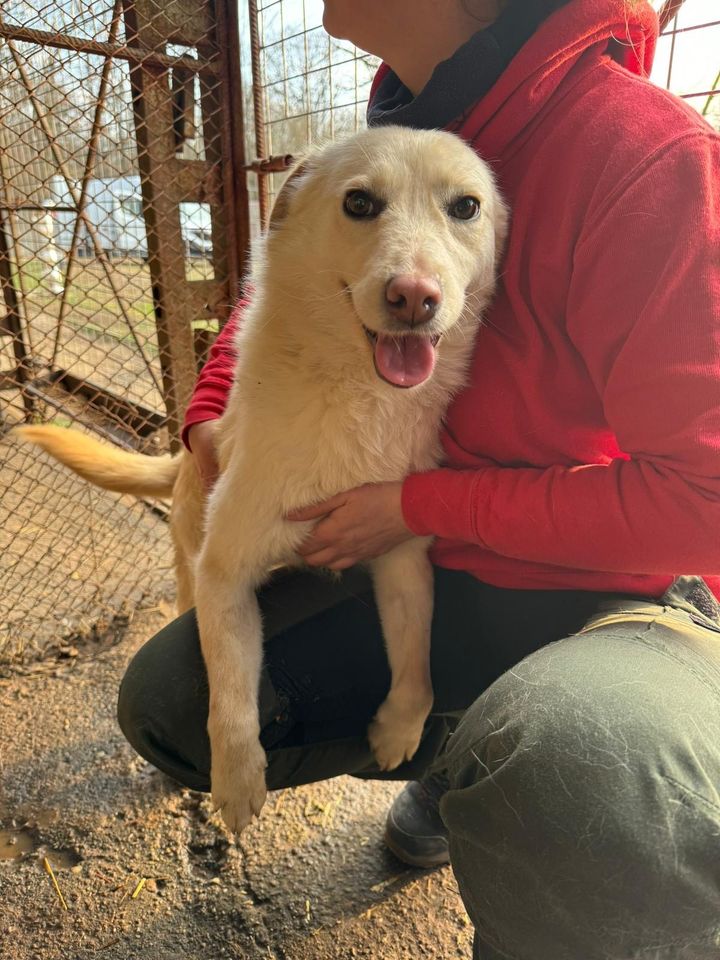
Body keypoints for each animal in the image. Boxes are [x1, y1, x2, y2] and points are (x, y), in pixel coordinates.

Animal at [15, 127, 506, 832]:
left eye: (465, 207)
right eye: (359, 202)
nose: (415, 297)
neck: (356, 403)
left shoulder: (403, 559)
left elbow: (417, 665)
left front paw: (399, 731)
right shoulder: (225, 577)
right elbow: (227, 697)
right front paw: (238, 780)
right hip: (191, 569)